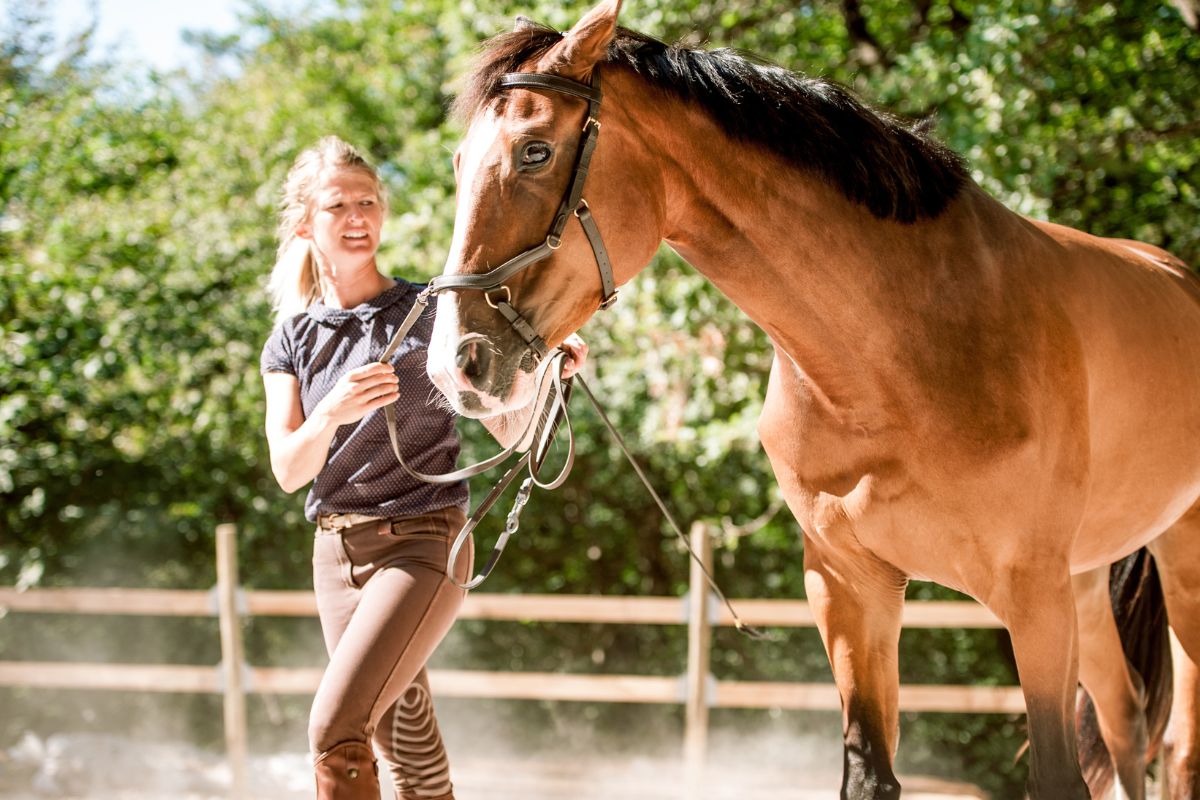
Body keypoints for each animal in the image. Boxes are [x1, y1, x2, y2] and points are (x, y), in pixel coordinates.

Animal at [422, 1, 1200, 796]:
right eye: (457, 163)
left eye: (535, 152)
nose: (456, 364)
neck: (893, 359)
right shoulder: (850, 589)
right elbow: (869, 770)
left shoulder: (1033, 599)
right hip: (1086, 587)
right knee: (1127, 722)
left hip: (1174, 568)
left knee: (1175, 745)